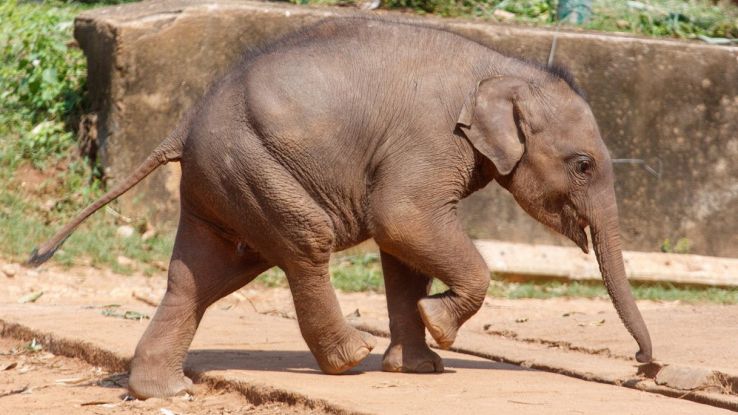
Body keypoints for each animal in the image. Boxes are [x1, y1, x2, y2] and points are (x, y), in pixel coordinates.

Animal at [29, 17, 652, 398]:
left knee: (204, 275)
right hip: (256, 168)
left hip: (224, 181)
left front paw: (421, 365)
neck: (504, 67)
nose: (645, 369)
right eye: (583, 165)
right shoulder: (427, 140)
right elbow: (402, 220)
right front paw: (439, 327)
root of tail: (184, 124)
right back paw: (351, 357)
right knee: (304, 245)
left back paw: (166, 391)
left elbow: (403, 249)